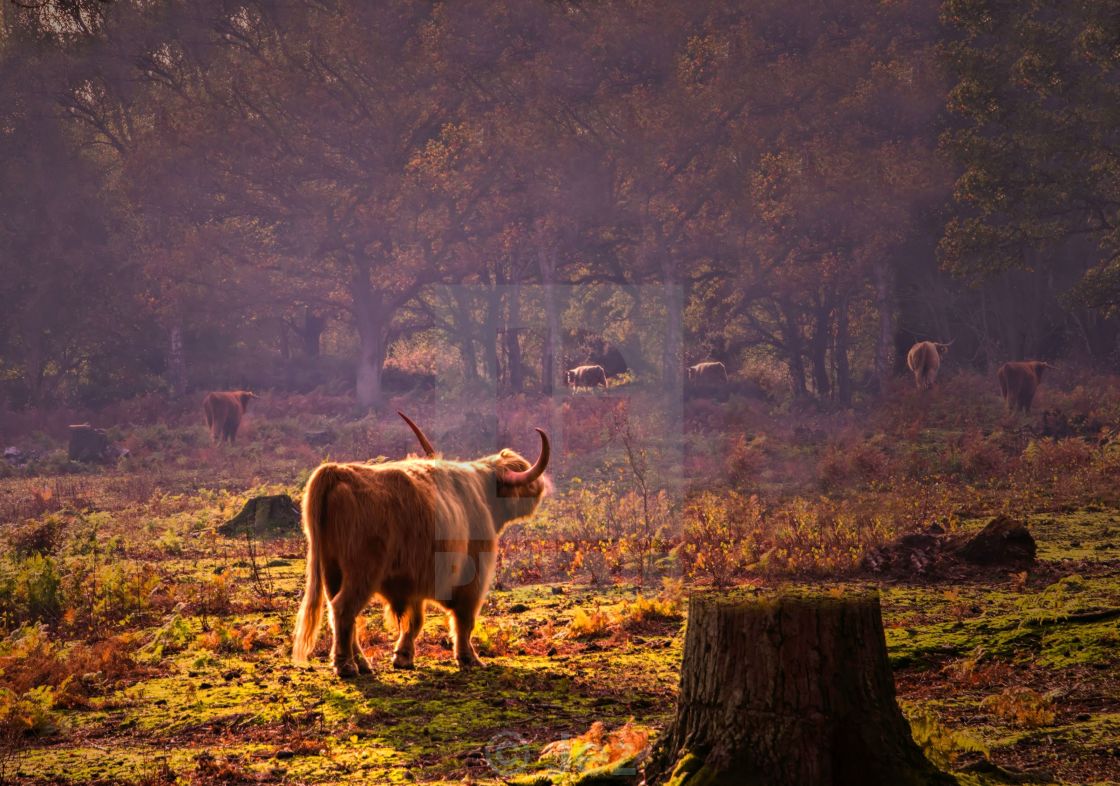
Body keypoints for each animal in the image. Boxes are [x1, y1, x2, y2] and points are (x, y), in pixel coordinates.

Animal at [291, 412, 548, 676]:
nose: (541, 487)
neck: (483, 495)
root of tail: (337, 471)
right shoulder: (473, 576)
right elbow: (464, 619)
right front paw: (469, 659)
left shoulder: (413, 581)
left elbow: (413, 621)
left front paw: (403, 657)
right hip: (362, 571)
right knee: (344, 609)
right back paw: (346, 666)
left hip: (331, 570)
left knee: (341, 614)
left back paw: (363, 663)